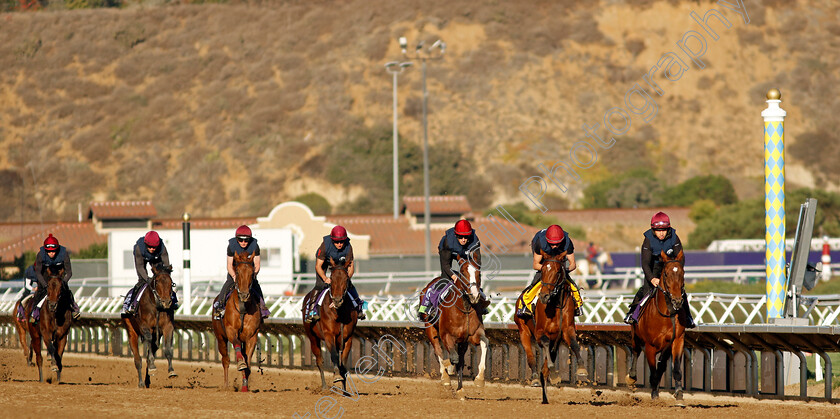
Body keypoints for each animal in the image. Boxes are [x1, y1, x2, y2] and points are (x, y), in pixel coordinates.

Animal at [212, 251, 260, 392]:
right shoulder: (231, 331)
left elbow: (248, 361)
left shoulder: (252, 336)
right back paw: (226, 385)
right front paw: (240, 363)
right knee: (225, 360)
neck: (243, 307)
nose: (244, 295)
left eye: (252, 272)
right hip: (220, 337)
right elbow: (237, 347)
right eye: (237, 272)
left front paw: (245, 386)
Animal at [302, 258, 358, 392]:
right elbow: (333, 356)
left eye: (346, 279)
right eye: (331, 278)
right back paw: (324, 386)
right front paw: (337, 375)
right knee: (319, 360)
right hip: (313, 337)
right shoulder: (328, 335)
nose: (337, 300)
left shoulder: (347, 338)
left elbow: (343, 362)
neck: (339, 312)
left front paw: (344, 388)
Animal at [424, 254, 488, 398]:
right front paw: (449, 369)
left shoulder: (472, 335)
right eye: (463, 272)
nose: (474, 295)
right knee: (438, 350)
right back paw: (445, 377)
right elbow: (454, 357)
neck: (464, 308)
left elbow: (484, 343)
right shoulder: (446, 335)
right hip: (430, 328)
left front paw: (479, 379)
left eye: (478, 273)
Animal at [512, 251, 584, 406]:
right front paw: (553, 370)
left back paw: (545, 396)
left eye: (557, 272)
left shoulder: (565, 331)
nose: (544, 296)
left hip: (554, 342)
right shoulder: (540, 332)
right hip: (523, 330)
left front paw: (581, 368)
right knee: (531, 356)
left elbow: (574, 344)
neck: (555, 305)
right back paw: (534, 377)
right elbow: (543, 344)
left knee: (543, 370)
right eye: (543, 270)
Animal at [628, 249, 684, 400]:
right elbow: (653, 372)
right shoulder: (650, 346)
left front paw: (679, 392)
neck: (666, 315)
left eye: (682, 273)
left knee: (662, 365)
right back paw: (632, 377)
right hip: (635, 337)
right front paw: (654, 396)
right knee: (635, 351)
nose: (677, 301)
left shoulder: (677, 340)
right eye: (666, 274)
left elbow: (675, 368)